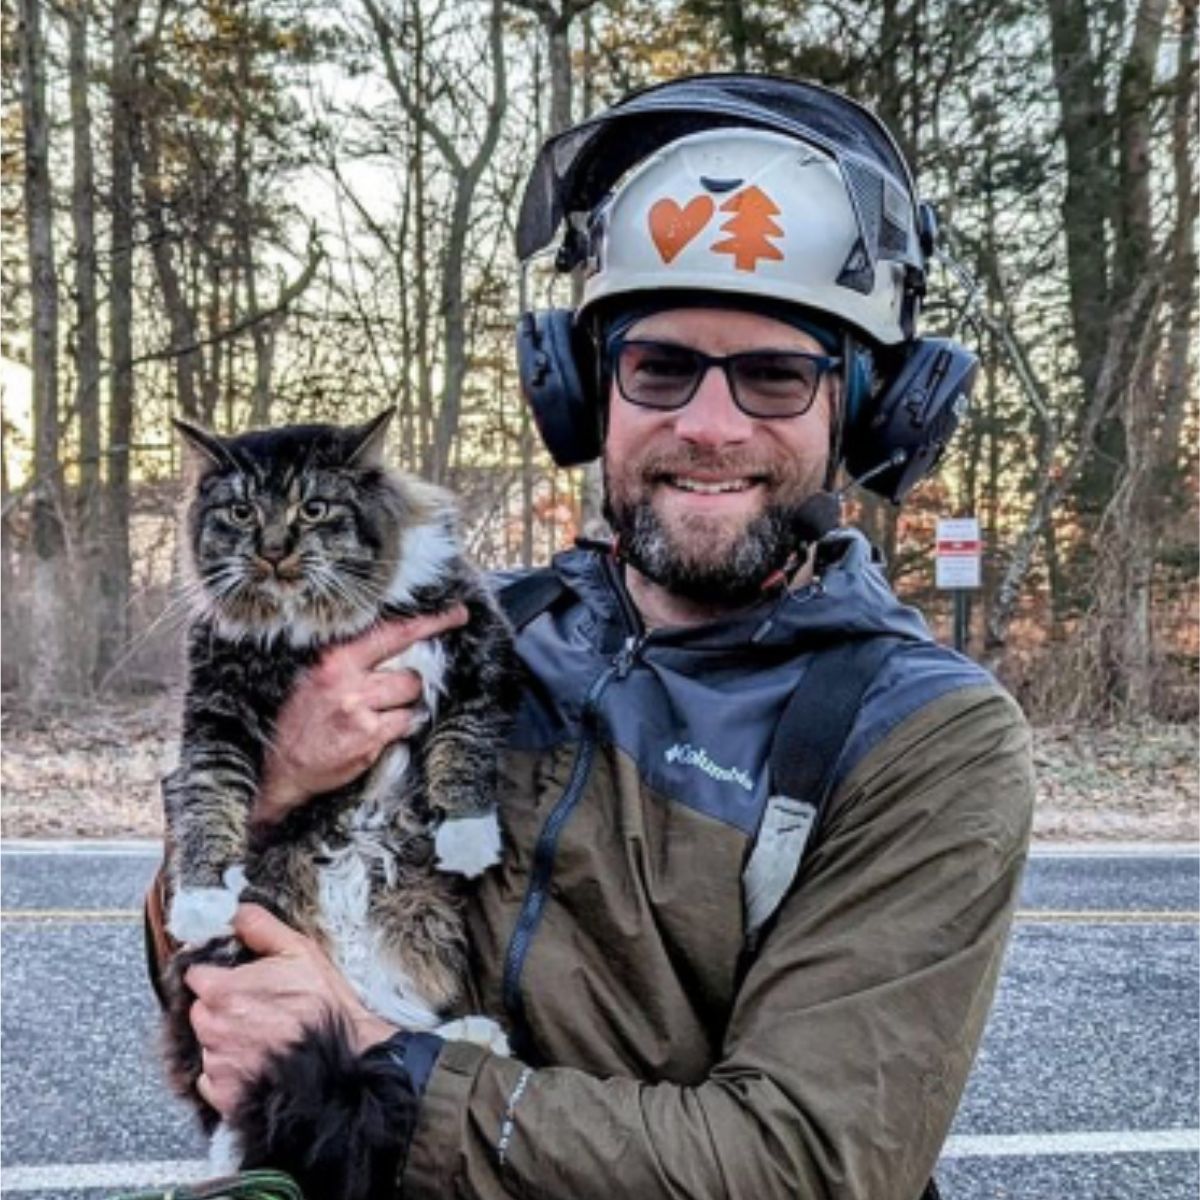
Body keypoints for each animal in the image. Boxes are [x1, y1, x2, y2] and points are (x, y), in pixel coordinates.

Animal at [154, 408, 516, 1176]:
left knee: (384, 1020)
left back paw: (476, 1035)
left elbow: (466, 736)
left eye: (313, 509)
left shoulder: (476, 639)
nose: (273, 551)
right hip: (251, 940)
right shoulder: (216, 705)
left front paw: (468, 833)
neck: (313, 626)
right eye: (241, 512)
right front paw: (199, 898)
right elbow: (206, 795)